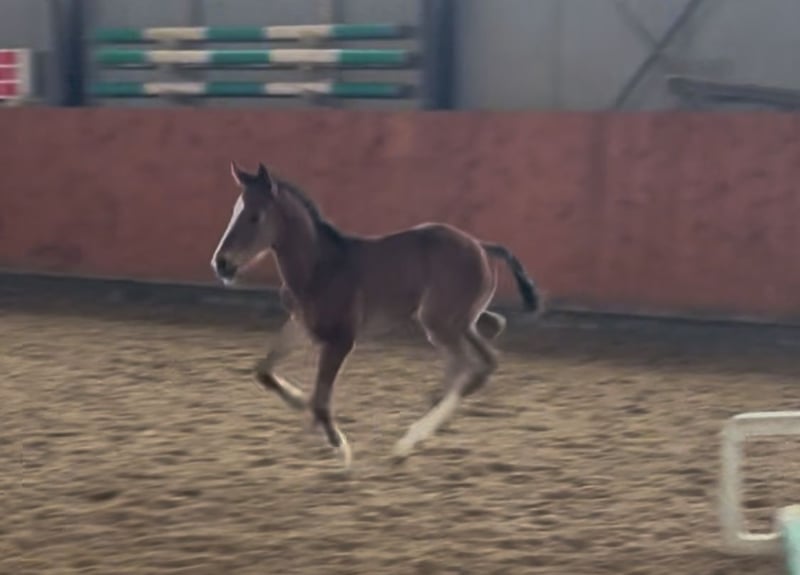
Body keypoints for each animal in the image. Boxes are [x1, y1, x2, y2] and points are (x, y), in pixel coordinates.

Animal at [211, 161, 541, 468]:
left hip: (438, 323)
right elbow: (265, 372)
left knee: (468, 365)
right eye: (234, 211)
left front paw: (341, 448)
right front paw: (300, 401)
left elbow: (321, 400)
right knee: (487, 350)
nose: (221, 263)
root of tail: (481, 246)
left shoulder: (342, 339)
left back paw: (408, 439)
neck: (321, 266)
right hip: (458, 321)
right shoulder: (302, 324)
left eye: (255, 216)